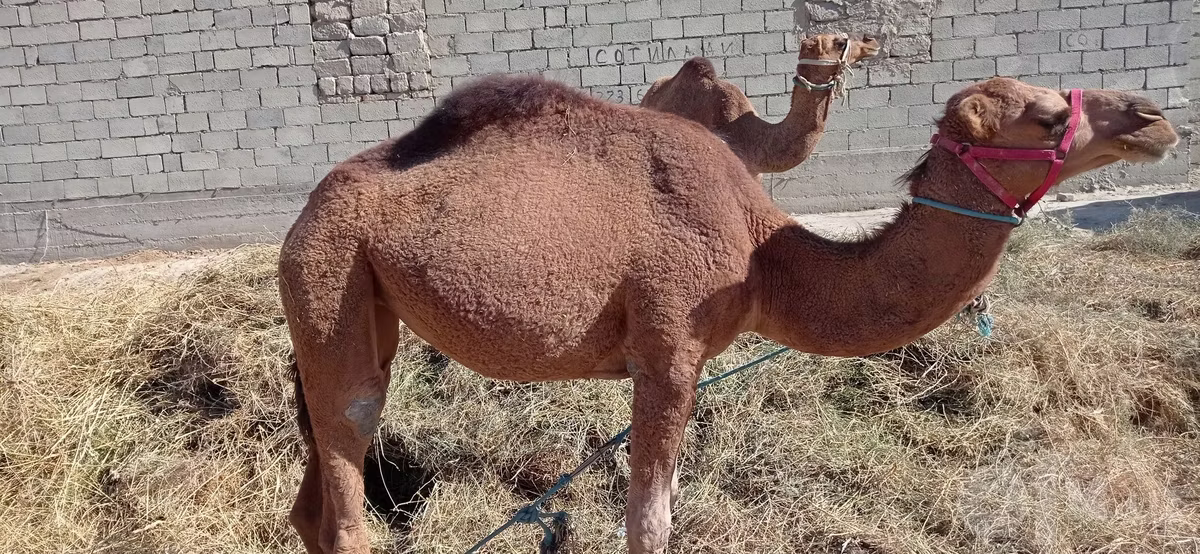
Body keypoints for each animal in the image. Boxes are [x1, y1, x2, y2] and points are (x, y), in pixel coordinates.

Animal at [277, 74, 1177, 554]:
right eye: (1049, 118)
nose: (1155, 116)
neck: (762, 255)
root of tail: (309, 208)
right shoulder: (668, 349)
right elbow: (649, 524)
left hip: (363, 305)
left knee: (313, 508)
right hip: (328, 276)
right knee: (349, 474)